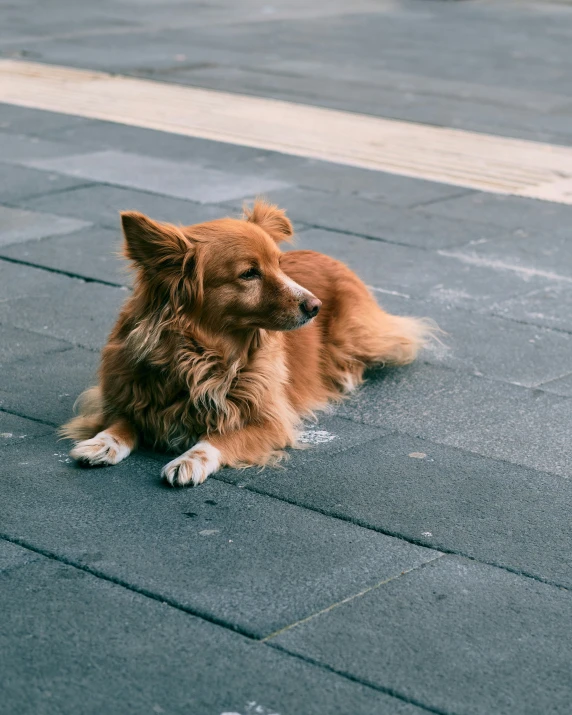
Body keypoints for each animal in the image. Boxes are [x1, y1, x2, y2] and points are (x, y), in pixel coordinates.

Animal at [61, 201, 428, 486]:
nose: (315, 306)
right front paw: (102, 442)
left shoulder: (270, 420)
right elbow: (122, 420)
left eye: (280, 265)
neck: (201, 355)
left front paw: (190, 460)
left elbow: (220, 437)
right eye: (250, 273)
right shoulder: (124, 393)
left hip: (360, 336)